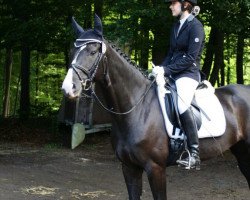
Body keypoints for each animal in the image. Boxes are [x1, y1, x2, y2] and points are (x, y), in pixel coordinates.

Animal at [62, 14, 250, 199]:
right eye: (72, 52)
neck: (136, 109)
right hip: (241, 151)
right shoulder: (129, 168)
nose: (68, 88)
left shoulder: (156, 168)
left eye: (93, 52)